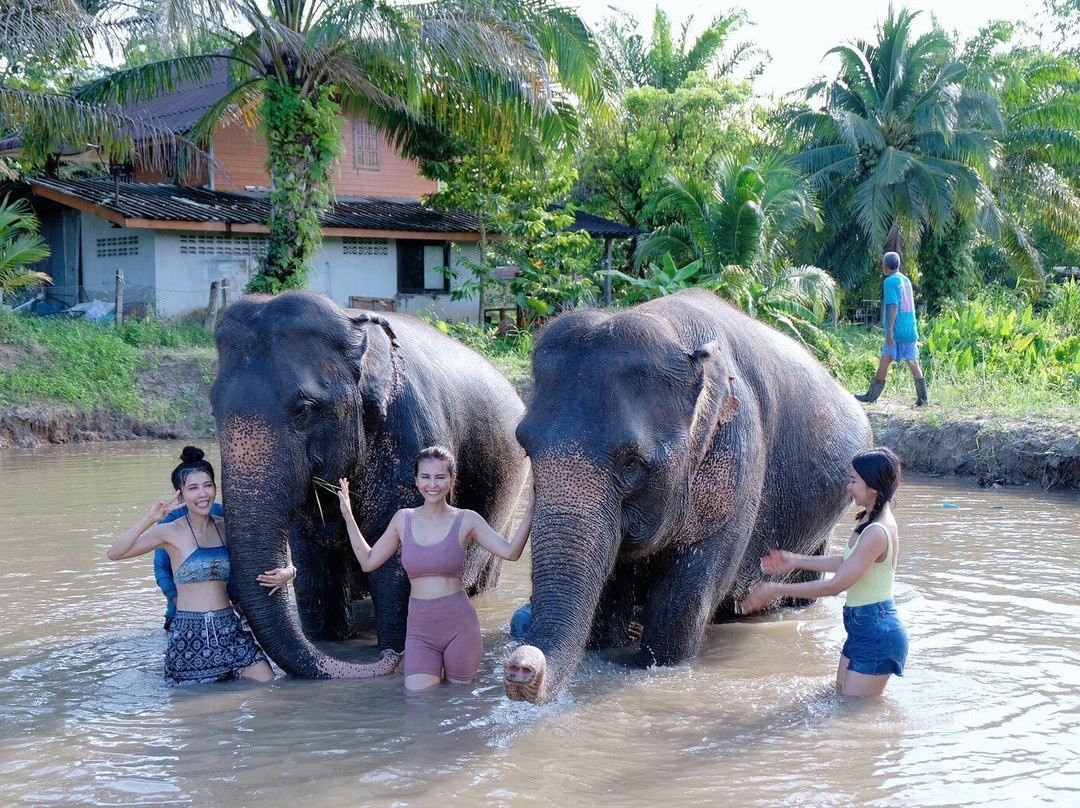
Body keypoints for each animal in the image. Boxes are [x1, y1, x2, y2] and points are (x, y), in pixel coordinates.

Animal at [210, 287, 527, 678]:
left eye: (304, 409)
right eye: (212, 407)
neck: (350, 322)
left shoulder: (410, 437)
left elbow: (397, 566)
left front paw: (395, 649)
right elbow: (314, 568)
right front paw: (333, 639)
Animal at [503, 289, 868, 699]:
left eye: (632, 463)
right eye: (526, 447)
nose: (519, 665)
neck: (671, 329)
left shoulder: (738, 458)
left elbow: (679, 608)